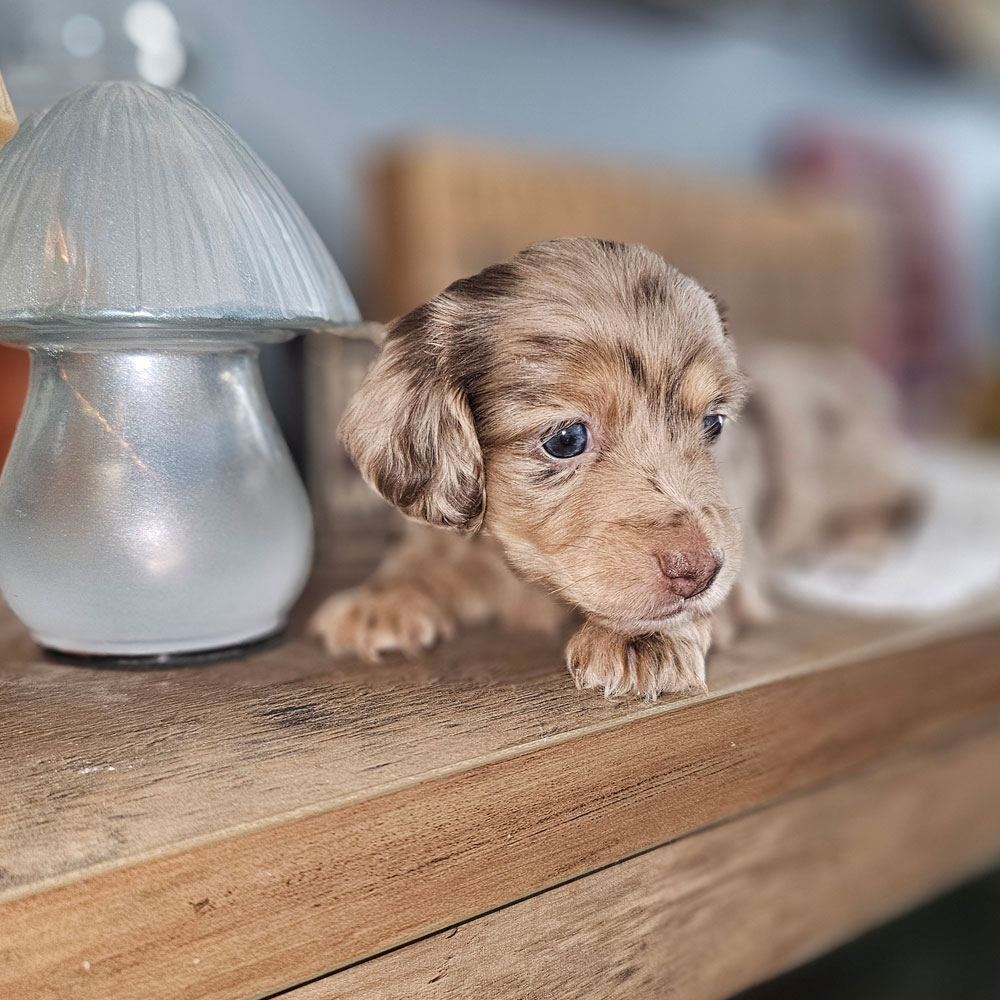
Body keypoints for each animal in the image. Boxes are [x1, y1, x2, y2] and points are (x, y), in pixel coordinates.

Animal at [310, 238, 916, 700]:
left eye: (714, 424)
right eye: (566, 439)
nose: (699, 570)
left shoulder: (742, 564)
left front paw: (645, 638)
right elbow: (429, 556)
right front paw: (382, 600)